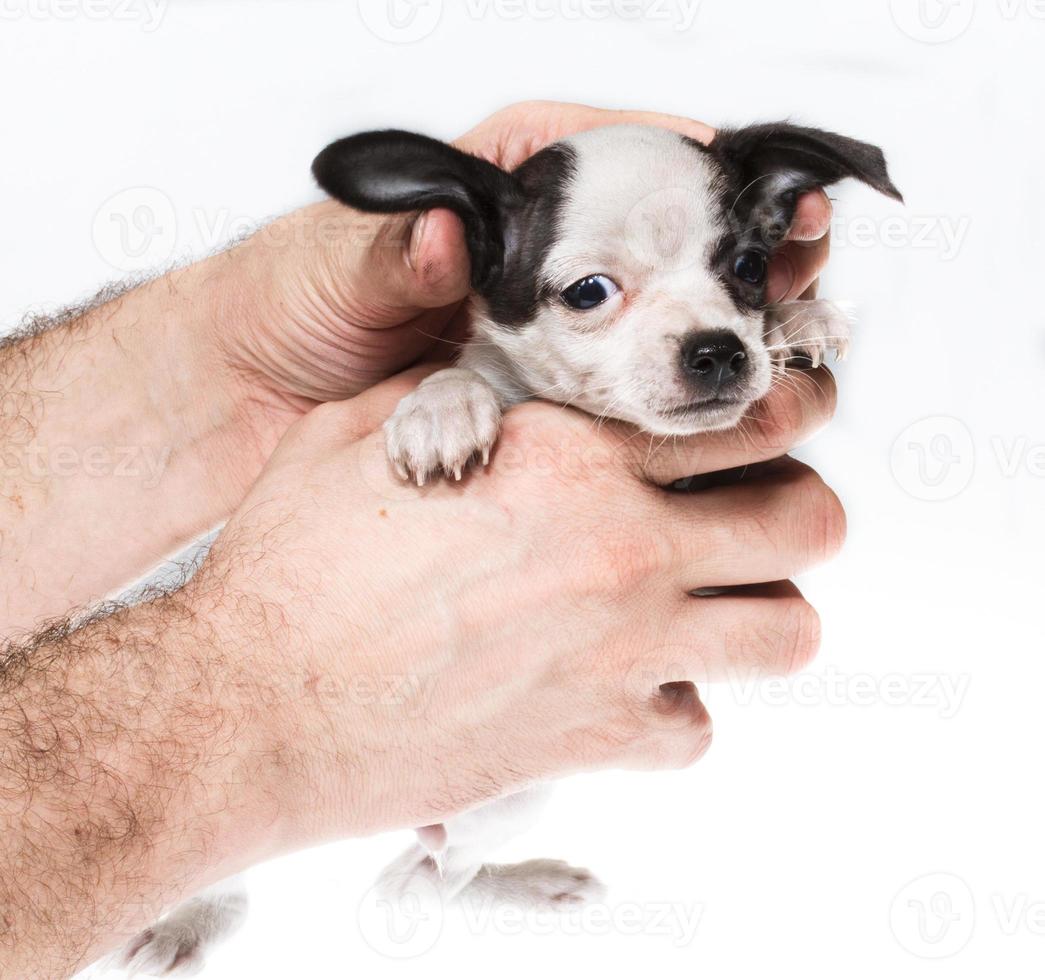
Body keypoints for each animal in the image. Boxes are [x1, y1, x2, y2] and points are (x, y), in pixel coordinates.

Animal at [313, 124, 902, 482]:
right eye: (589, 291)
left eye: (751, 267)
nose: (717, 351)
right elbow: (468, 370)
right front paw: (442, 406)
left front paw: (796, 318)